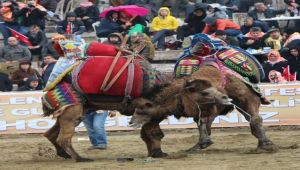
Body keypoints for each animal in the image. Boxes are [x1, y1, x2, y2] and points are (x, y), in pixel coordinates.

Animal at [42, 77, 231, 161]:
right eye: (205, 92)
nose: (226, 98)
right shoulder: (148, 114)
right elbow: (154, 133)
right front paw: (158, 153)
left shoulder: (151, 115)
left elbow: (149, 134)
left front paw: (155, 153)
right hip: (72, 113)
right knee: (63, 137)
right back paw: (80, 158)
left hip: (66, 114)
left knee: (50, 134)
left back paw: (64, 155)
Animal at [130, 65, 276, 153]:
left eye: (141, 109)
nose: (131, 121)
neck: (180, 94)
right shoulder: (200, 110)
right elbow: (201, 123)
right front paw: (201, 143)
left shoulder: (212, 107)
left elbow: (204, 123)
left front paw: (204, 143)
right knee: (251, 118)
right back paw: (262, 143)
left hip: (247, 98)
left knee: (255, 118)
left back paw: (266, 143)